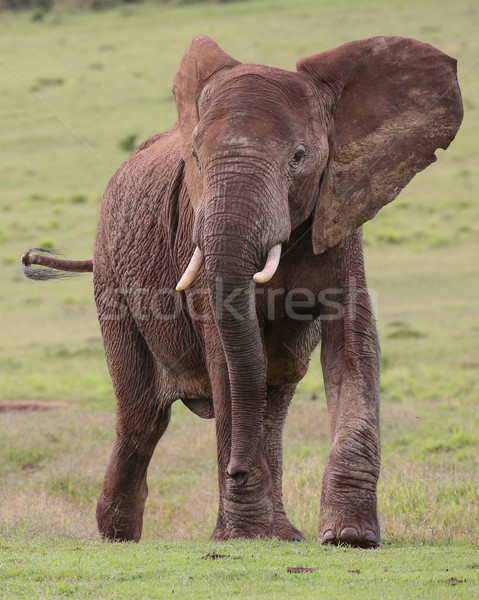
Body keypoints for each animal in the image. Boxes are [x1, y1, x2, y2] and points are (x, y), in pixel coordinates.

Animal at [21, 35, 462, 548]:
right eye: (194, 158)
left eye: (299, 157)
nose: (236, 470)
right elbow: (225, 355)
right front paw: (246, 537)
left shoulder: (340, 212)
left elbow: (355, 344)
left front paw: (349, 537)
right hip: (110, 270)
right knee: (143, 415)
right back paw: (119, 537)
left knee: (275, 389)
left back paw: (281, 530)